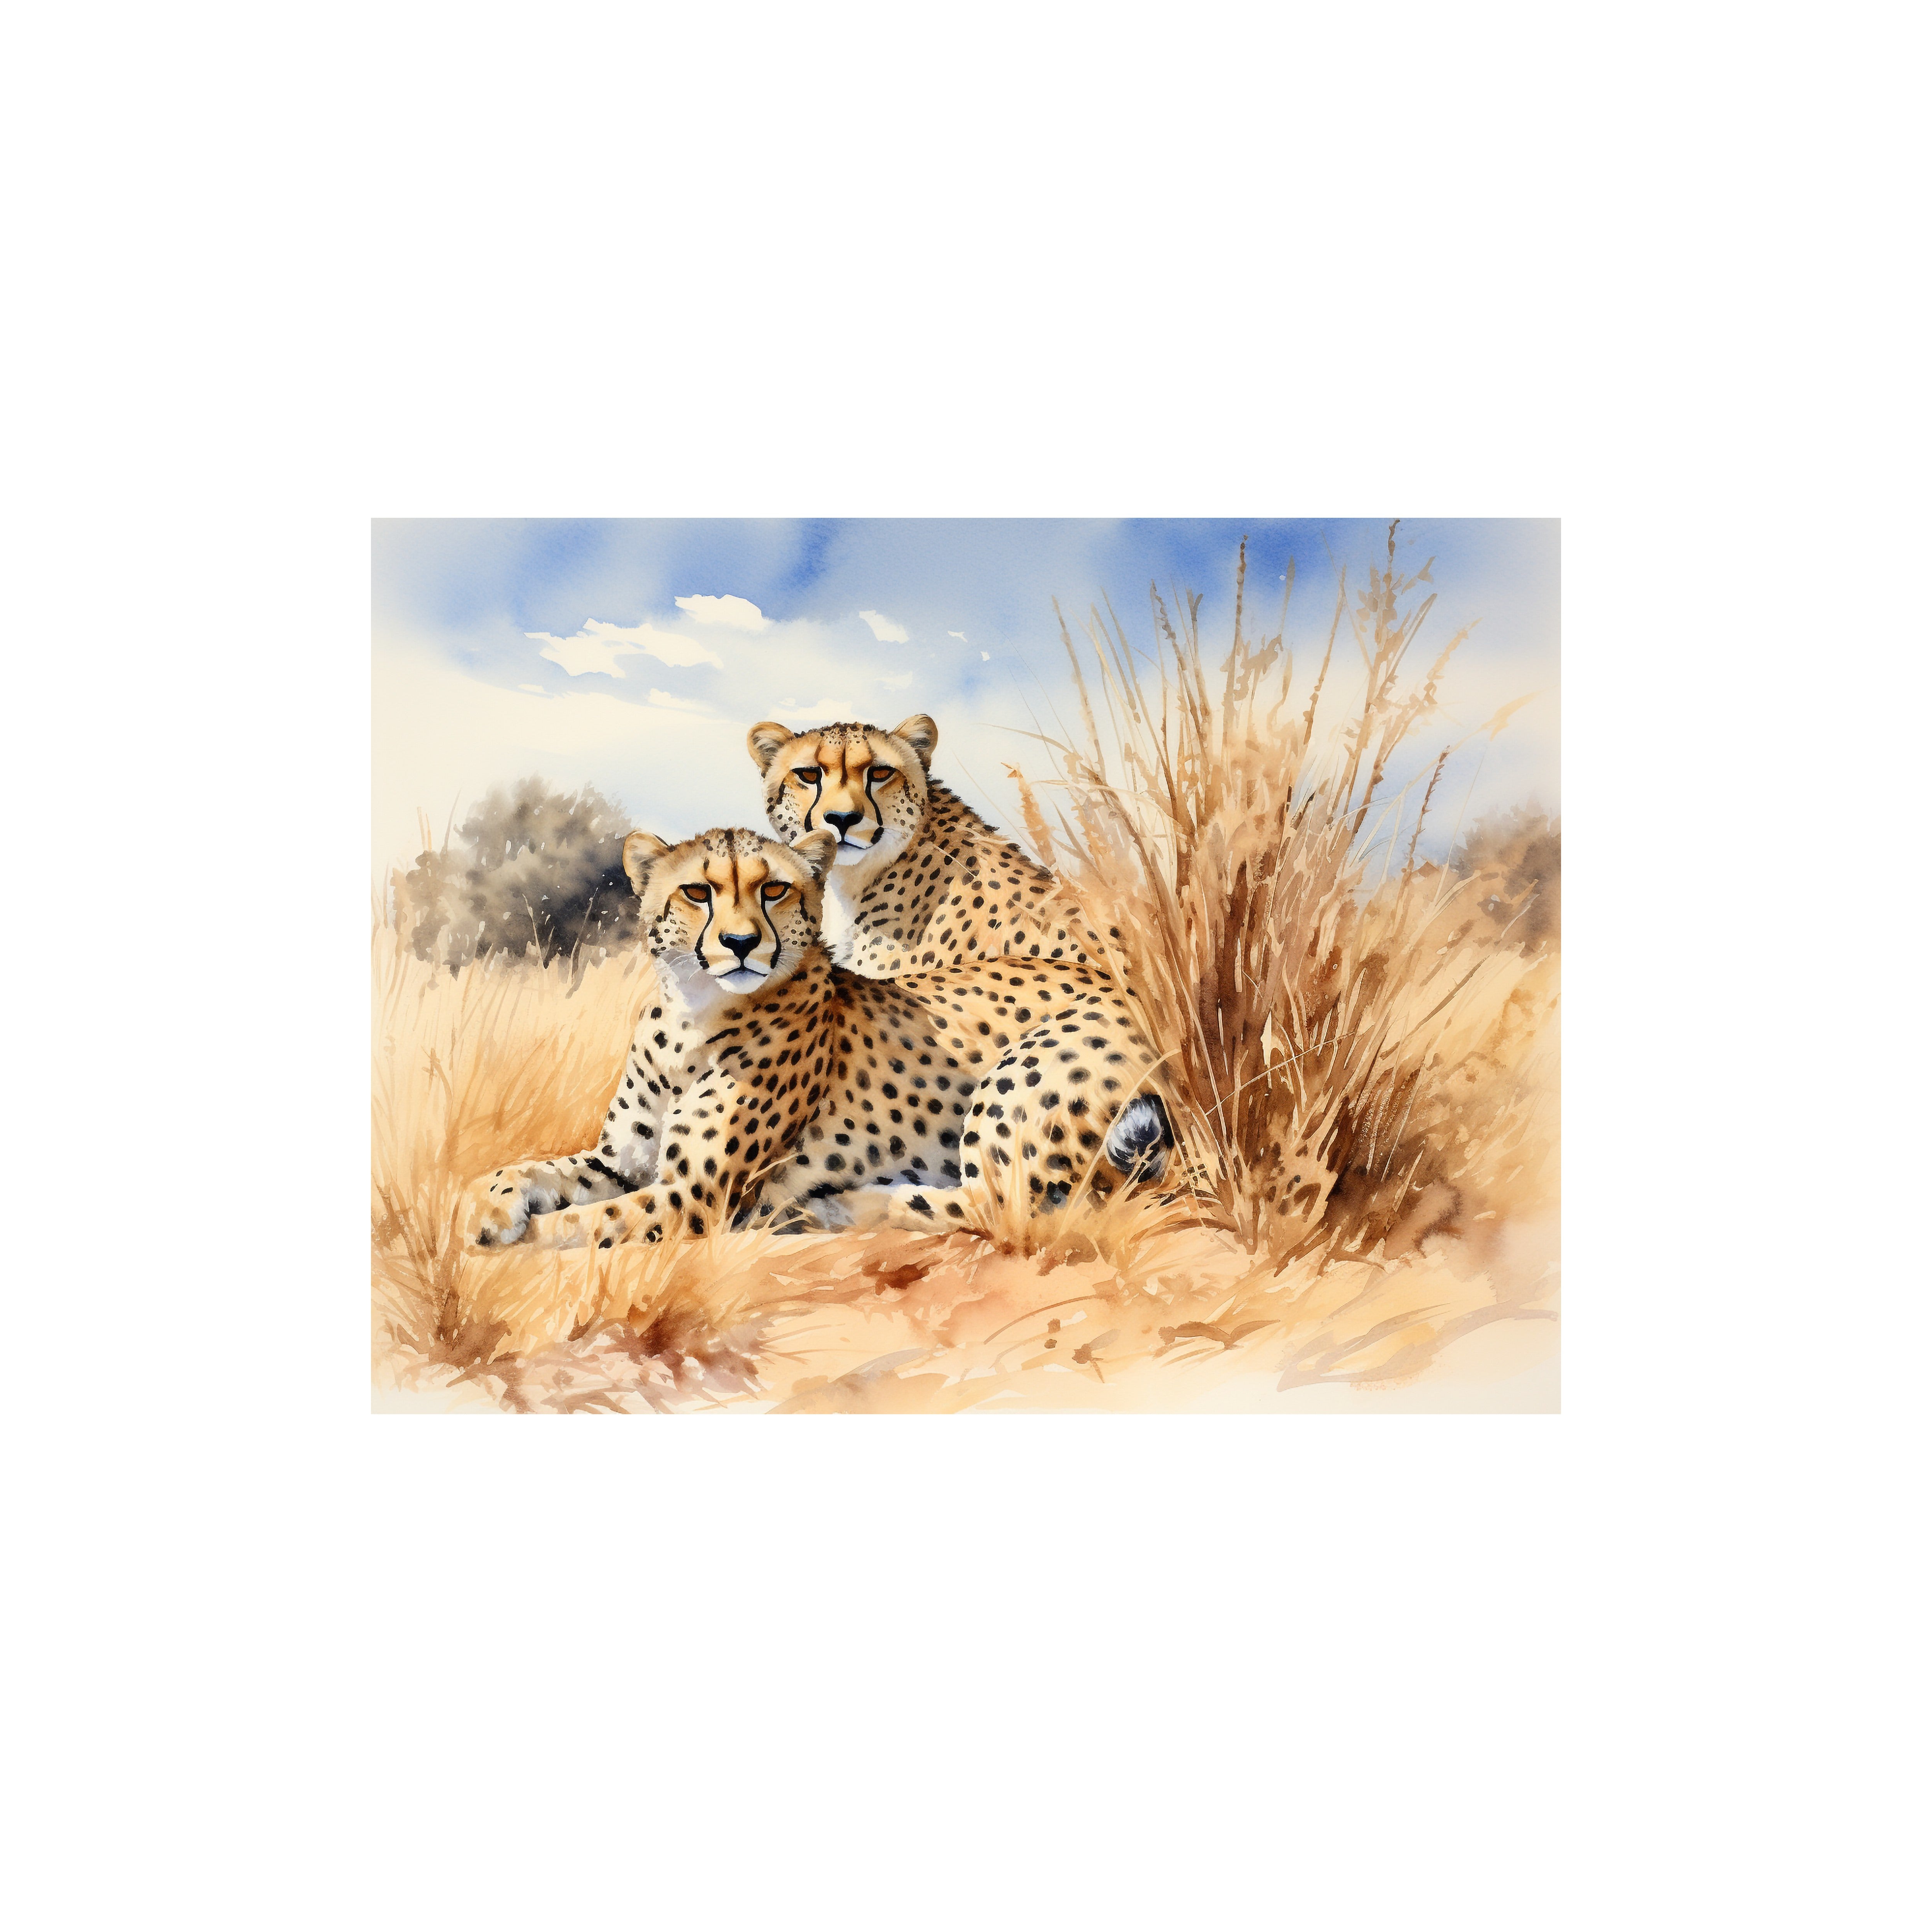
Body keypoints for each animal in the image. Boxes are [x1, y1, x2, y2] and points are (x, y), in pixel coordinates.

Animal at [459, 823, 1175, 1251]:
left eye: (775, 889)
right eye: (698, 892)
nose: (740, 943)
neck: (692, 1015)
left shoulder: (692, 1198)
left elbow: (583, 1224)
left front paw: (514, 1234)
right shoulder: (620, 1163)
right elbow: (526, 1169)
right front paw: (486, 1210)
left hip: (1016, 1081)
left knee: (1000, 1207)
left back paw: (842, 1207)